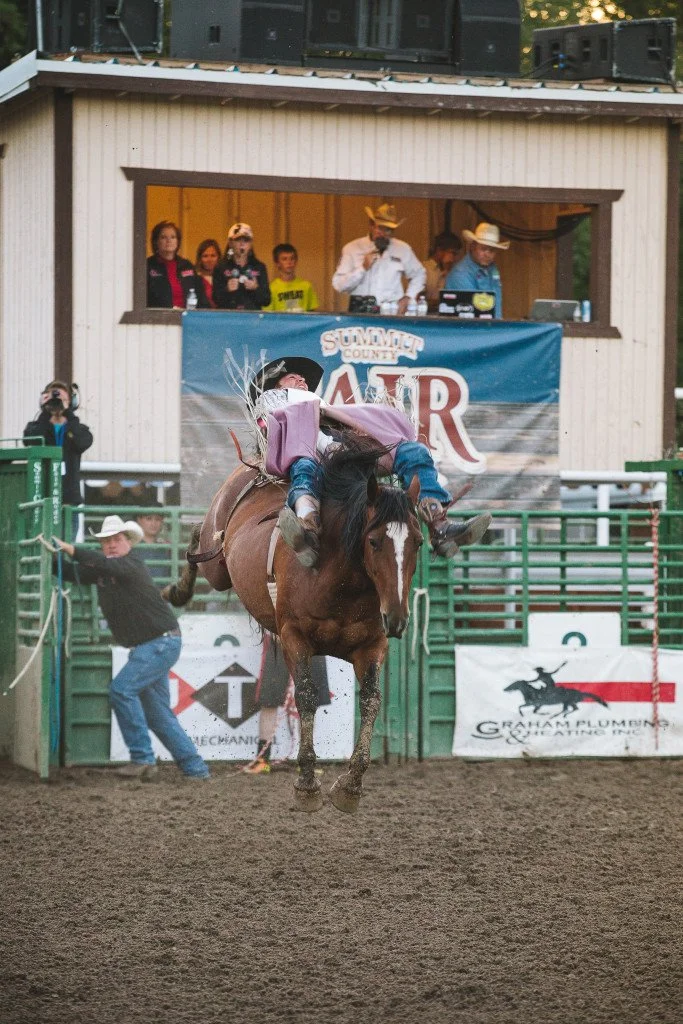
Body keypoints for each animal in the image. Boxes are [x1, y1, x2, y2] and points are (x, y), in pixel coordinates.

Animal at [165, 437, 423, 813]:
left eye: (418, 541)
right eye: (374, 541)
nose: (398, 617)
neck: (339, 581)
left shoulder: (372, 645)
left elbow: (371, 700)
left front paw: (351, 785)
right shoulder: (294, 637)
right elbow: (305, 695)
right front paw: (307, 785)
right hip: (218, 565)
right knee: (200, 539)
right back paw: (177, 590)